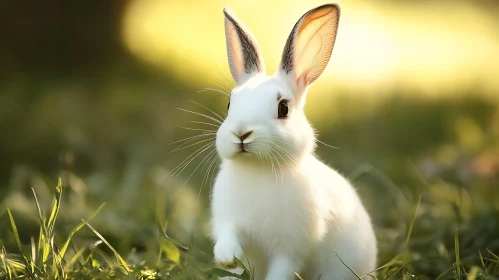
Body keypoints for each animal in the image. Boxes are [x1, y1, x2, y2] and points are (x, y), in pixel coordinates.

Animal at [209, 2, 376, 280]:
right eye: (230, 104)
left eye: (283, 108)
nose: (241, 133)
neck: (259, 169)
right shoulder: (229, 220)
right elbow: (228, 235)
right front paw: (226, 258)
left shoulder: (291, 249)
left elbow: (282, 269)